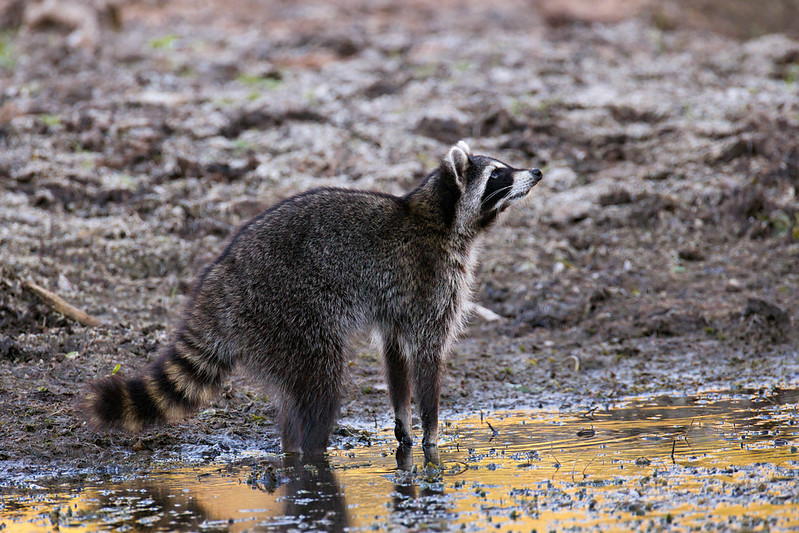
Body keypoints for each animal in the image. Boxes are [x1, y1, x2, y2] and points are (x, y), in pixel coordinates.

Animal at [87, 141, 542, 454]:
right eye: (498, 175)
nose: (536, 171)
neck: (439, 216)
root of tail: (224, 276)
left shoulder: (397, 306)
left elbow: (396, 358)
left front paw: (404, 421)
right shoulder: (430, 284)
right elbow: (428, 357)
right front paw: (431, 431)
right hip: (289, 313)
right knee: (321, 384)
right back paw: (312, 452)